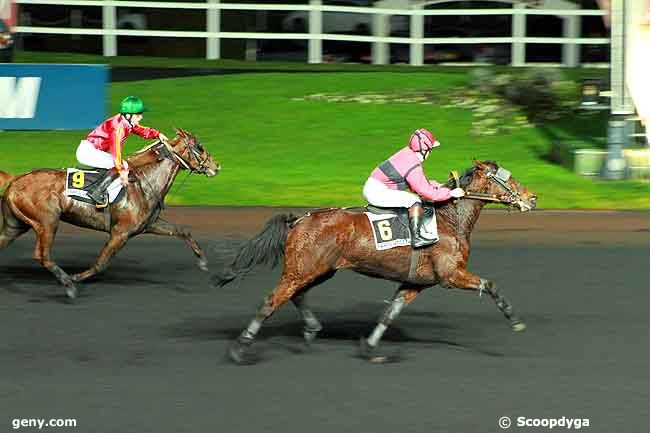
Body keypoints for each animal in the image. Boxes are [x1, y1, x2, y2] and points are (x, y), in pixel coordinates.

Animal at [0, 126, 220, 298]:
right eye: (199, 146)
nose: (216, 166)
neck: (144, 182)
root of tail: (15, 179)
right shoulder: (120, 233)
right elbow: (101, 262)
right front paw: (75, 277)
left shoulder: (148, 225)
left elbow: (182, 231)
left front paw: (202, 261)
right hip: (47, 222)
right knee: (42, 255)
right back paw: (68, 284)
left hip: (15, 225)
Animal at [213, 160, 536, 362]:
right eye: (507, 178)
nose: (532, 198)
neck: (449, 219)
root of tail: (299, 219)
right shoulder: (451, 275)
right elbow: (490, 285)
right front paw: (516, 321)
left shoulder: (415, 283)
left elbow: (389, 313)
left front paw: (369, 347)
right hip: (303, 269)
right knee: (272, 301)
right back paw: (240, 349)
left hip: (319, 270)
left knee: (296, 295)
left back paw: (311, 329)